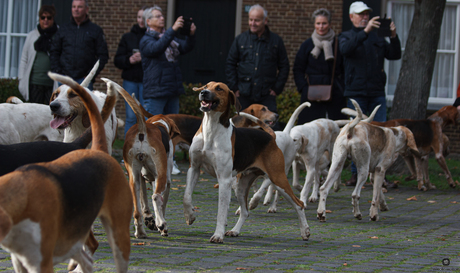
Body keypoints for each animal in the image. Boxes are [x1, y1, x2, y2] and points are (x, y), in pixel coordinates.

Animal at [110, 80, 181, 238]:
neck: (159, 123)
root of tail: (143, 130)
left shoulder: (142, 178)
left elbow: (145, 205)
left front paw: (150, 220)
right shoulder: (165, 181)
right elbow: (161, 204)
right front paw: (160, 224)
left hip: (133, 179)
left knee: (137, 211)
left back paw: (141, 232)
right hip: (161, 176)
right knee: (155, 197)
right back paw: (161, 225)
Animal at [183, 81, 310, 242]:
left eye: (219, 88)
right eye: (206, 86)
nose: (203, 93)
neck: (210, 129)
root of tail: (271, 136)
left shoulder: (224, 179)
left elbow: (221, 211)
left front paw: (217, 235)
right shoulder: (193, 168)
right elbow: (186, 196)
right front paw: (190, 216)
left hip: (278, 179)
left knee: (299, 204)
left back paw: (305, 231)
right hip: (241, 185)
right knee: (245, 211)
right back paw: (234, 231)